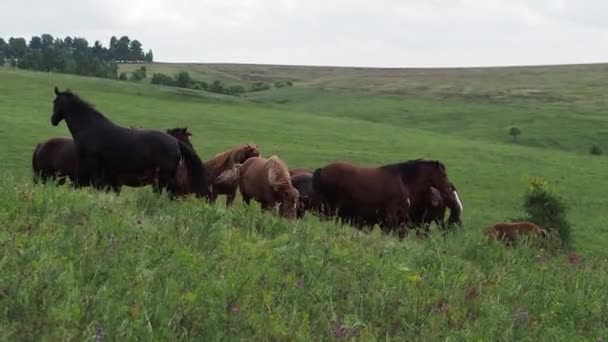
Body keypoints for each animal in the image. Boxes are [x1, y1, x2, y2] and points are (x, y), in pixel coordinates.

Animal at [48, 86, 209, 198]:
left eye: (55, 101)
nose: (53, 120)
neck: (90, 127)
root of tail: (175, 142)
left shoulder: (90, 164)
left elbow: (85, 183)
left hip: (163, 175)